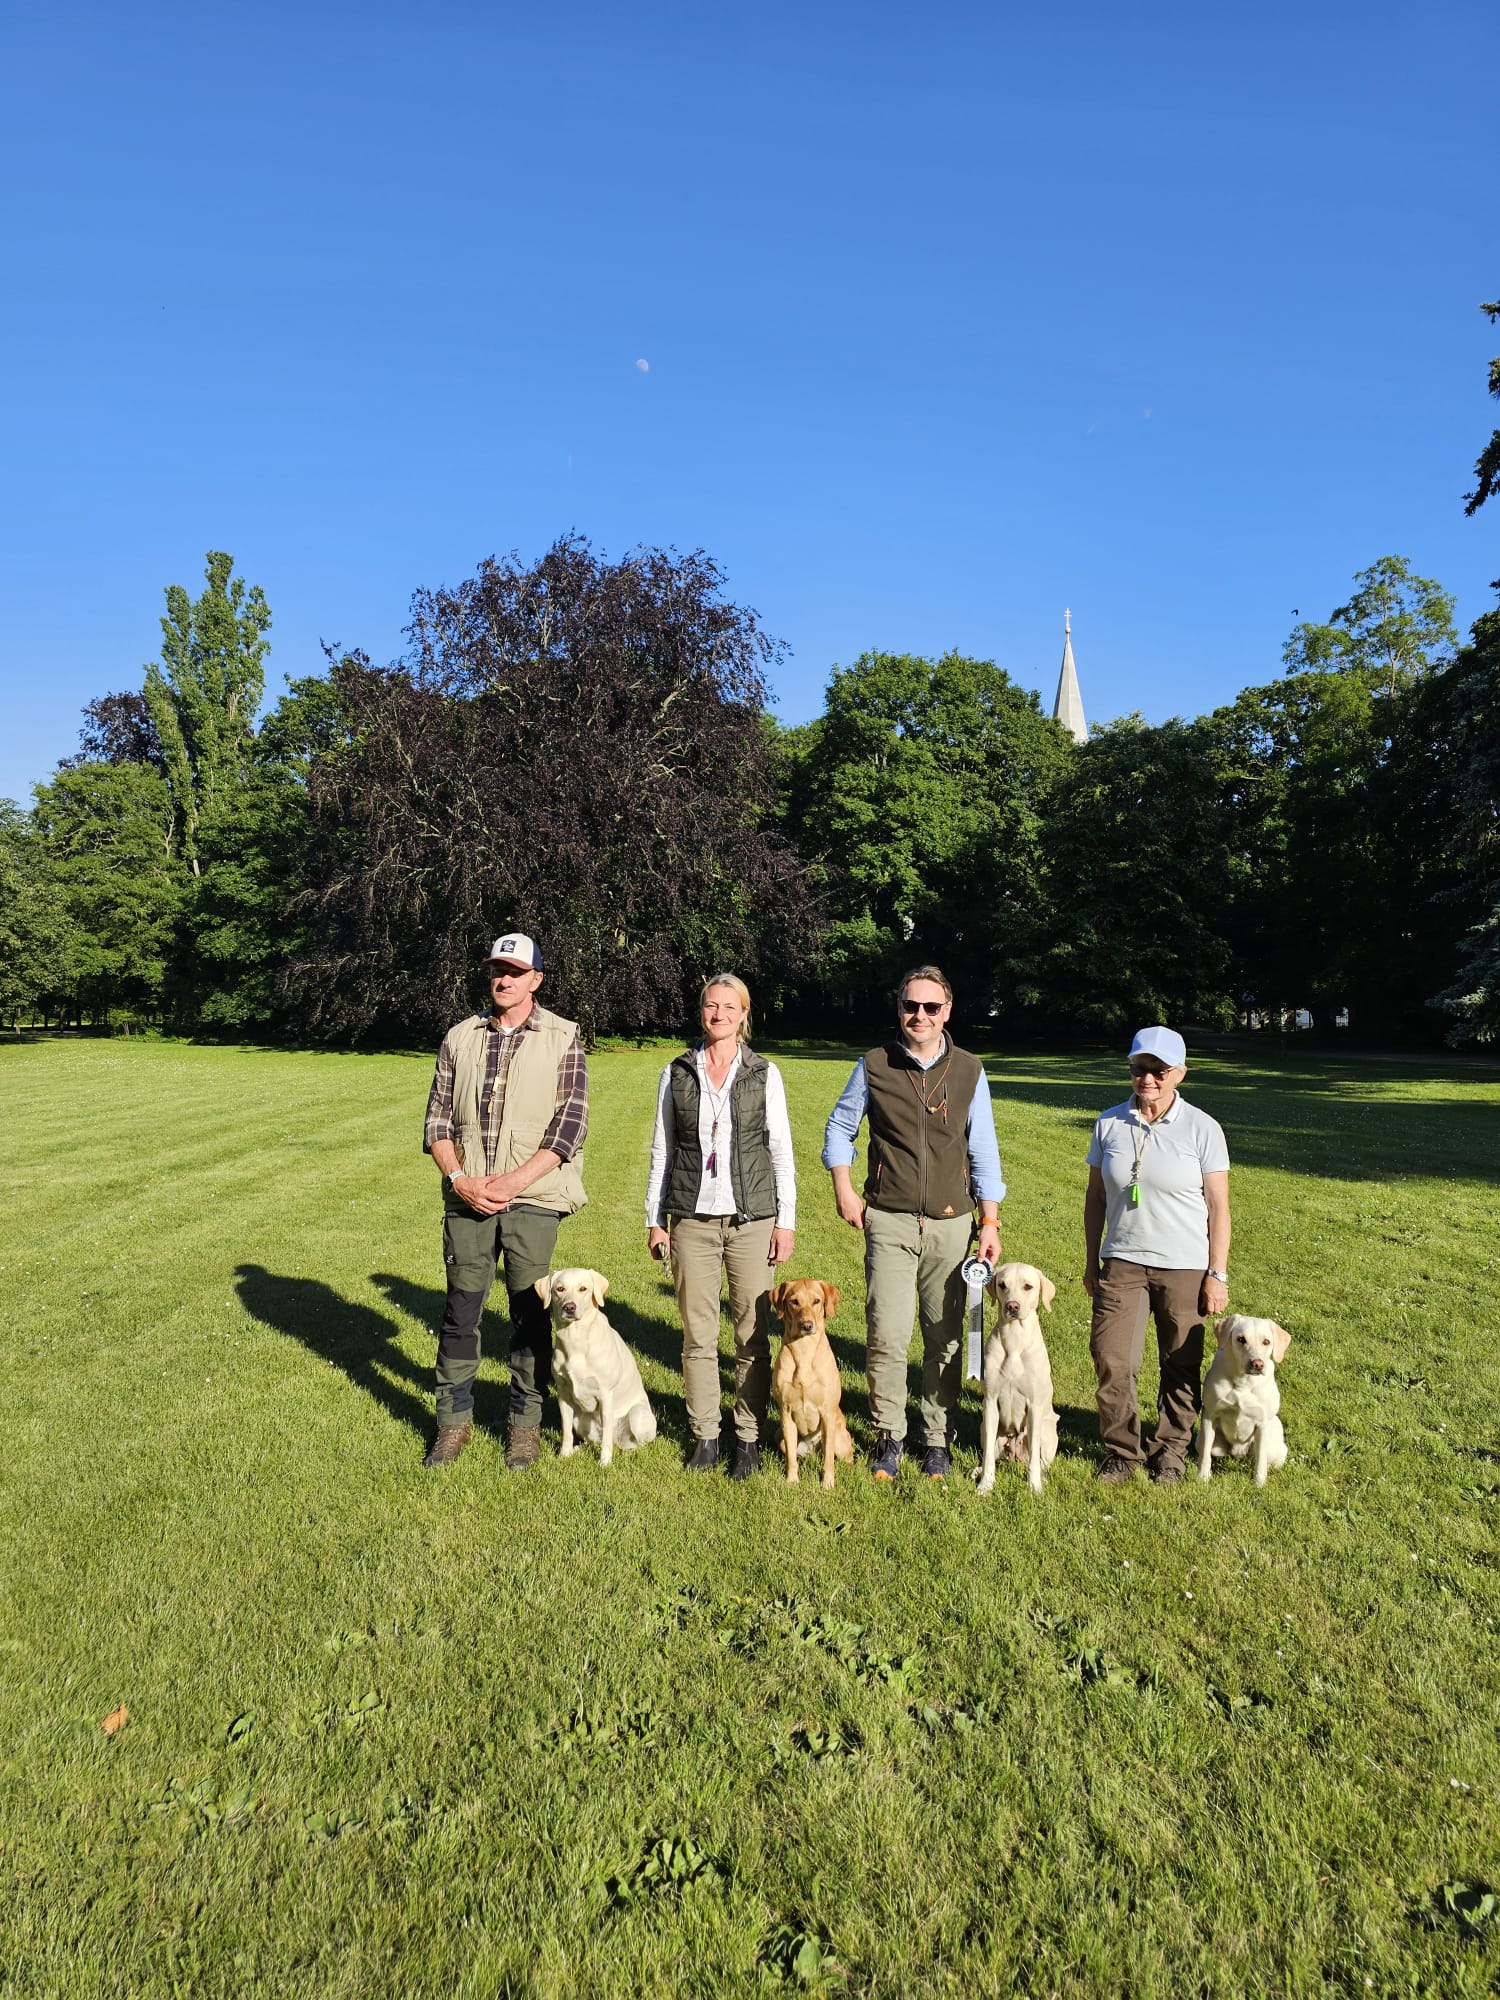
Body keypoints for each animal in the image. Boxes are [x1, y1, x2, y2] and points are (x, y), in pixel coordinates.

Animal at [540, 1264, 656, 1472]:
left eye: (583, 1289)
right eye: (560, 1289)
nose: (570, 1307)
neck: (575, 1339)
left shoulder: (605, 1394)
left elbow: (607, 1436)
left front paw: (604, 1462)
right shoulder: (563, 1393)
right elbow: (565, 1429)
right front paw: (564, 1454)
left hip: (636, 1415)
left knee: (630, 1442)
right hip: (580, 1417)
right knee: (594, 1439)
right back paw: (578, 1449)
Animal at [976, 1256, 1056, 1496]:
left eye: (1028, 1286)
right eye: (1003, 1285)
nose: (1012, 1306)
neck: (1014, 1339)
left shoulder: (1035, 1406)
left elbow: (1034, 1461)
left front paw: (1034, 1486)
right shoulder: (990, 1402)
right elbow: (988, 1458)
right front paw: (985, 1484)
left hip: (1048, 1430)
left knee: (1041, 1460)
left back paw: (1043, 1478)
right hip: (984, 1428)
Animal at [1200, 1312, 1296, 1488]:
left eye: (1266, 1341)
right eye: (1241, 1339)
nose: (1257, 1364)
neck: (1243, 1383)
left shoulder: (1262, 1424)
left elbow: (1261, 1460)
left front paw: (1259, 1484)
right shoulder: (1209, 1415)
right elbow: (1204, 1454)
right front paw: (1202, 1477)